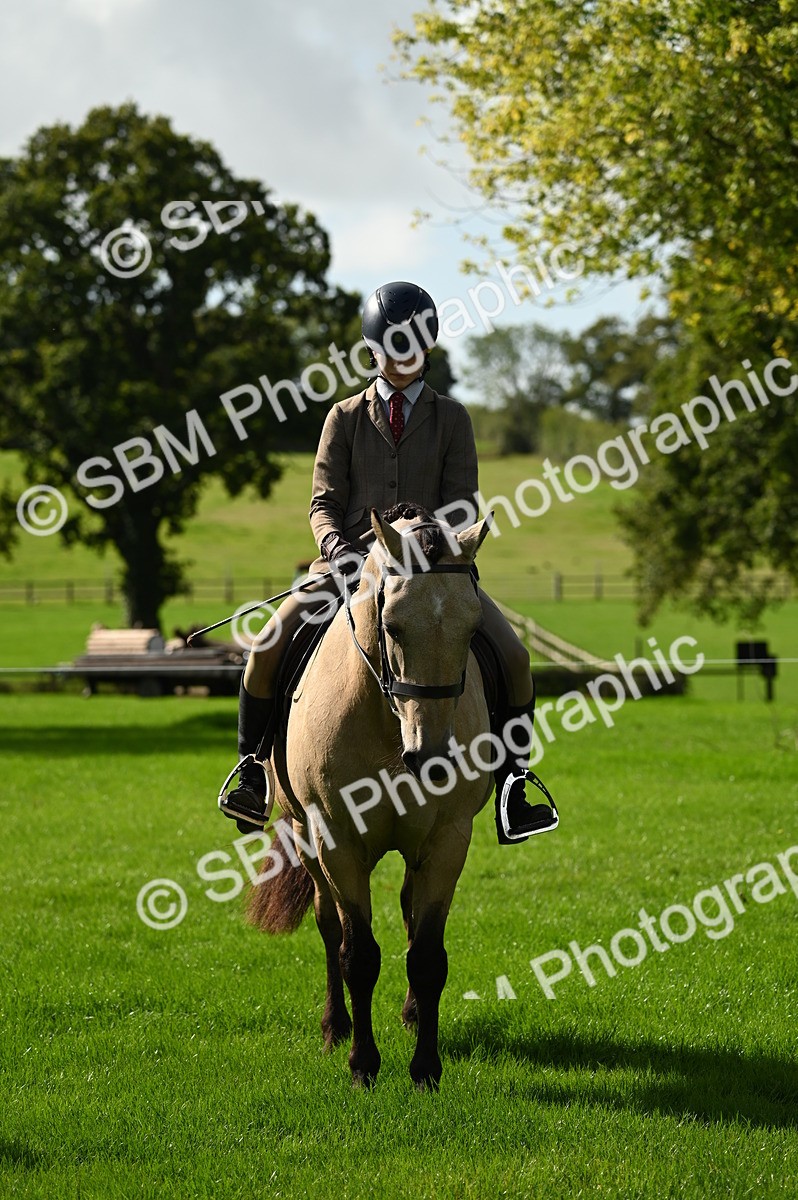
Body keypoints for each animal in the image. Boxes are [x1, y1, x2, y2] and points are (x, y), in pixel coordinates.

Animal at [248, 505, 494, 1089]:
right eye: (393, 625)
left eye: (472, 627)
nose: (432, 756)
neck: (388, 724)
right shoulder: (337, 841)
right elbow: (356, 953)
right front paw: (363, 1064)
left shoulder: (448, 840)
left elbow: (426, 955)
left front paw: (425, 1068)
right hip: (304, 837)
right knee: (327, 924)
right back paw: (335, 1028)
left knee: (407, 910)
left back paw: (410, 1015)